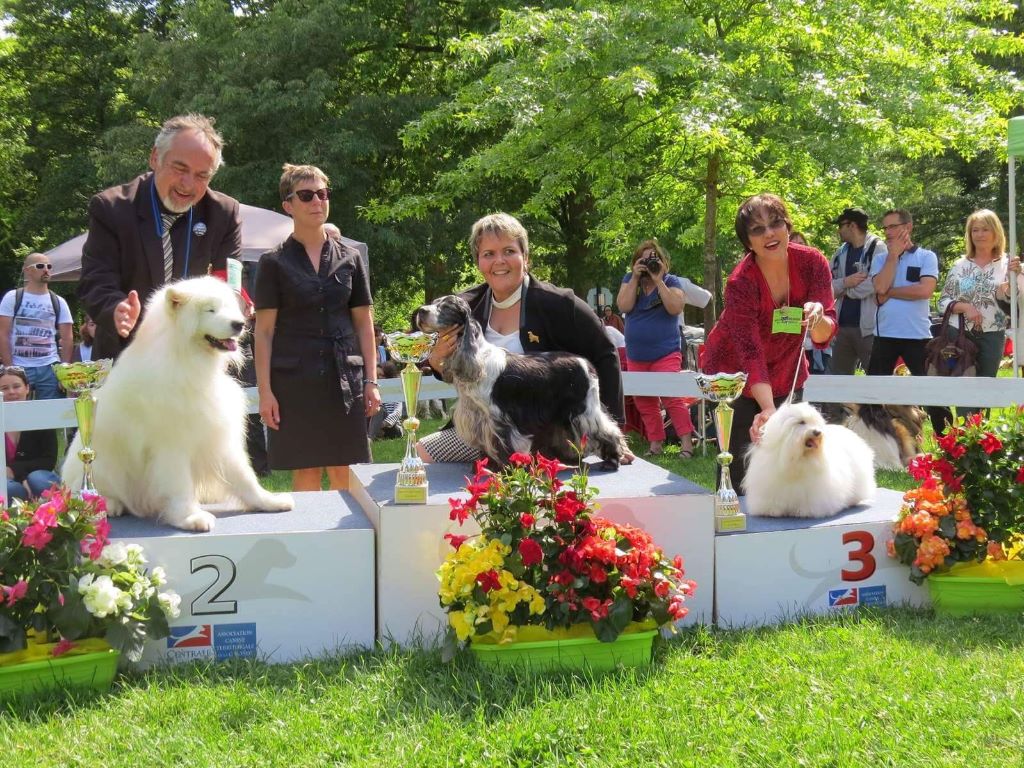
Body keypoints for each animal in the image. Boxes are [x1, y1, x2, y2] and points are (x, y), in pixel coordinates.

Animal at [63, 278, 294, 536]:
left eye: (228, 307)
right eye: (210, 310)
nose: (239, 324)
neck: (187, 360)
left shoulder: (218, 436)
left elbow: (244, 476)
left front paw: (269, 501)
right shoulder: (172, 445)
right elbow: (179, 484)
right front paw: (191, 518)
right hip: (98, 465)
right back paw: (108, 504)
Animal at [413, 294, 622, 473]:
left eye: (447, 306)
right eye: (434, 302)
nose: (421, 311)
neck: (476, 358)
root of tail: (586, 363)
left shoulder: (498, 417)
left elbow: (506, 446)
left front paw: (509, 471)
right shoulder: (479, 418)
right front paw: (488, 467)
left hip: (584, 410)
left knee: (607, 430)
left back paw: (612, 461)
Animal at [741, 399, 876, 520]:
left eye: (815, 423)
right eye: (801, 422)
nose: (817, 432)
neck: (796, 458)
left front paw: (804, 511)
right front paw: (772, 511)